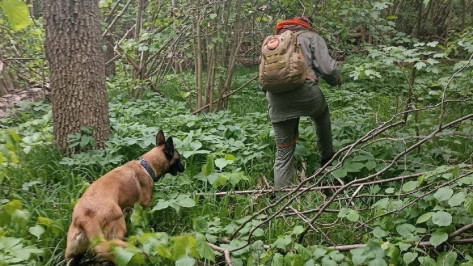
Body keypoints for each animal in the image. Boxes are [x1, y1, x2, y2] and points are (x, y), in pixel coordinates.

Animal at [65, 130, 183, 262]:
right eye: (178, 159)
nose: (184, 168)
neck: (147, 166)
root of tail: (85, 219)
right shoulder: (140, 209)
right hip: (118, 227)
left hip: (72, 251)